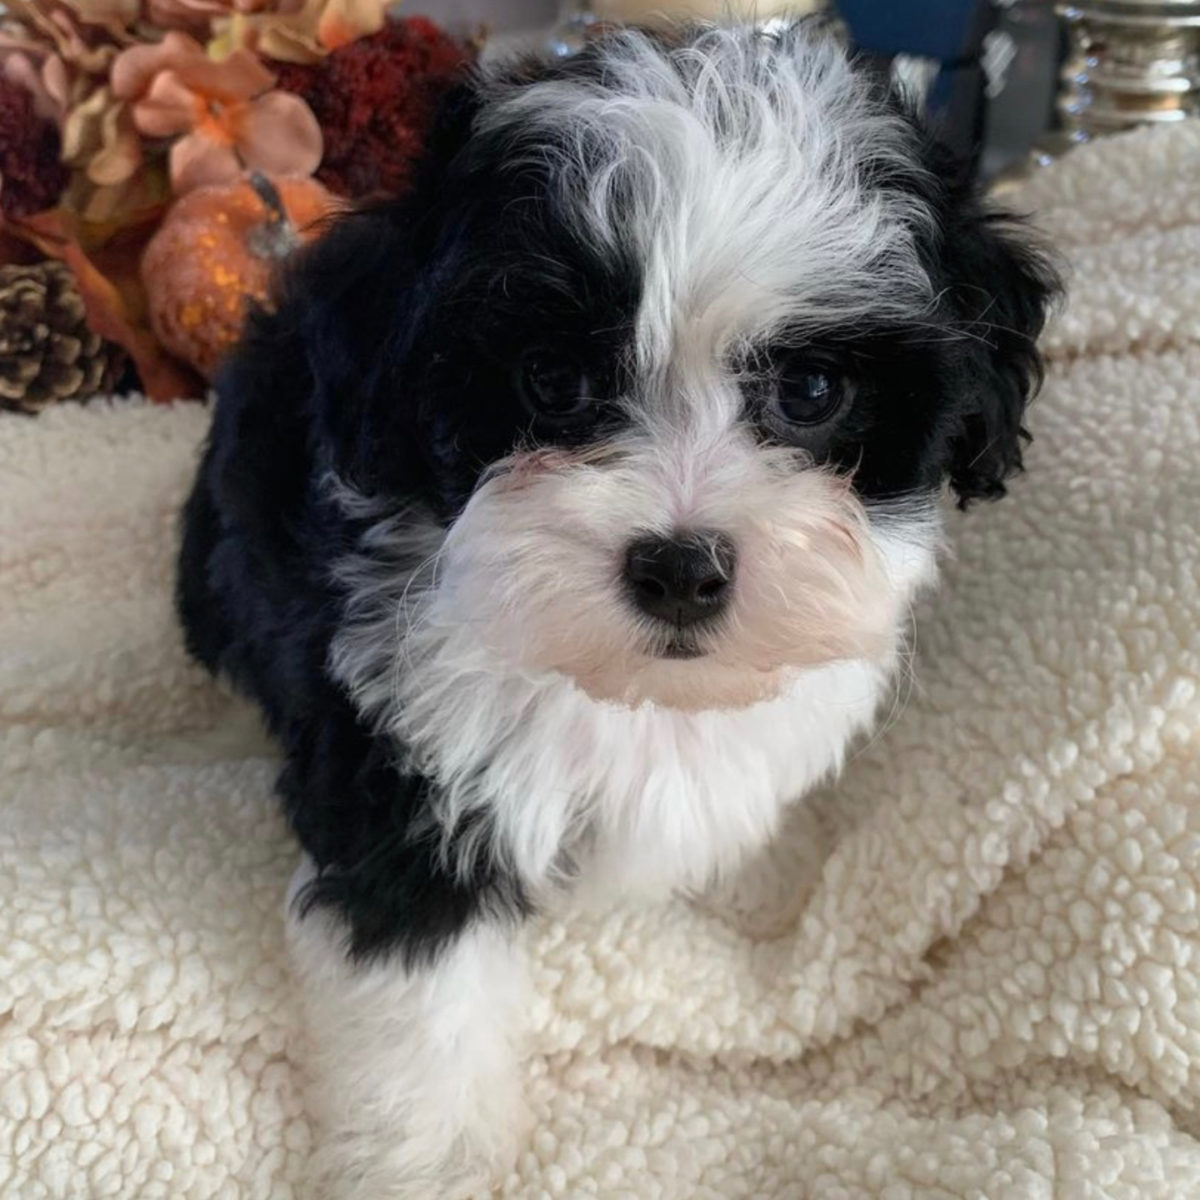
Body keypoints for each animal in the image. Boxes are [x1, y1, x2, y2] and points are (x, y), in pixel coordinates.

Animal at [175, 18, 1060, 1200]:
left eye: (811, 393)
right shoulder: (398, 761)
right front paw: (435, 1156)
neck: (633, 691)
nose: (681, 567)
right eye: (551, 381)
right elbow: (422, 977)